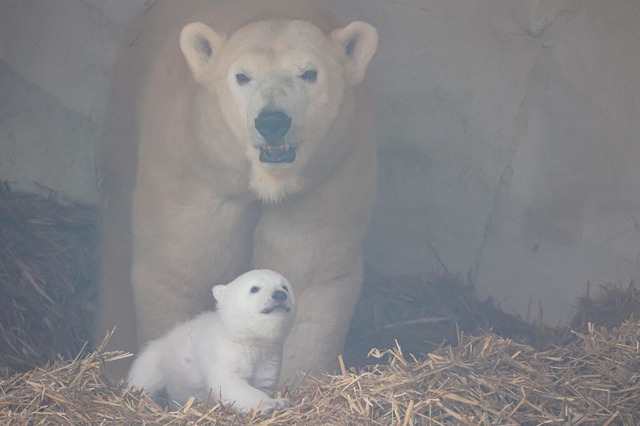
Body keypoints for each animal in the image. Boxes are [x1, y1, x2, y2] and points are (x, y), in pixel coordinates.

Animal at [97, 0, 378, 382]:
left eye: (309, 73)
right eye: (242, 76)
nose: (272, 121)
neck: (269, 183)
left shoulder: (325, 177)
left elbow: (308, 274)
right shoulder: (195, 169)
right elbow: (179, 268)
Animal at [125, 270, 296, 412]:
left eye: (285, 287)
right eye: (254, 288)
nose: (280, 295)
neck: (247, 340)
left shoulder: (269, 358)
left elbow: (263, 382)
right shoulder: (224, 351)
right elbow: (229, 383)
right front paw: (275, 403)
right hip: (156, 361)